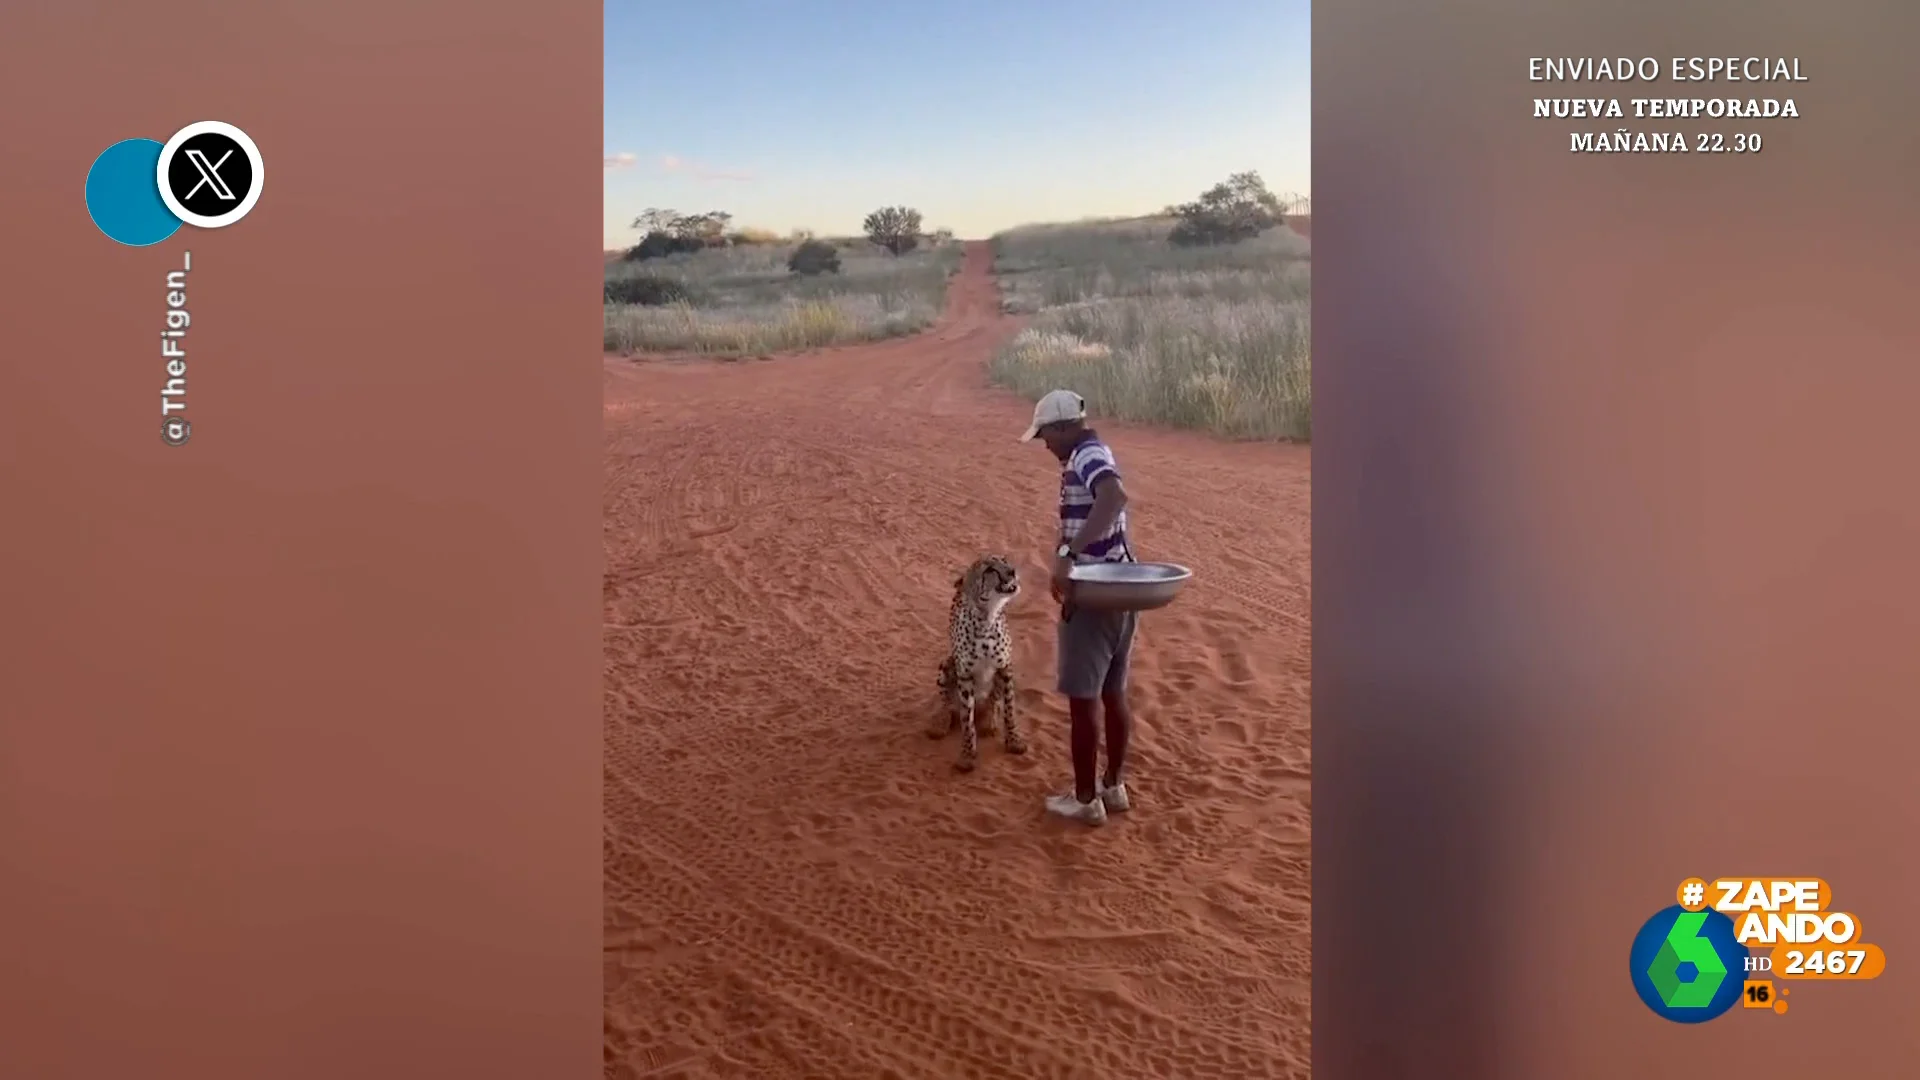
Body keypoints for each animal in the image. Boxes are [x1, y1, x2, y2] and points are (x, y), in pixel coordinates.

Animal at [933, 553, 1029, 764]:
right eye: (989, 570)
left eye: (1004, 560)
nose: (1012, 571)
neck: (986, 619)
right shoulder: (964, 674)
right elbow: (966, 720)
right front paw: (968, 754)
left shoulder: (1005, 668)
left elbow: (1009, 709)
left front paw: (1014, 741)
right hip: (947, 664)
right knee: (947, 703)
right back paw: (941, 723)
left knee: (993, 703)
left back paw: (990, 722)